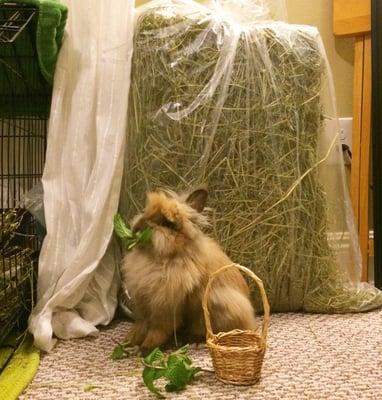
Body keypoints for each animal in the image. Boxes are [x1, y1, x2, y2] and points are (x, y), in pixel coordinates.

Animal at [121, 188, 255, 354]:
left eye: (167, 223)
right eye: (145, 212)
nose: (138, 228)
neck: (157, 259)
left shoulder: (165, 306)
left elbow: (158, 329)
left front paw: (146, 348)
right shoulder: (143, 305)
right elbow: (140, 325)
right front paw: (128, 342)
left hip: (217, 302)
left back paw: (191, 340)